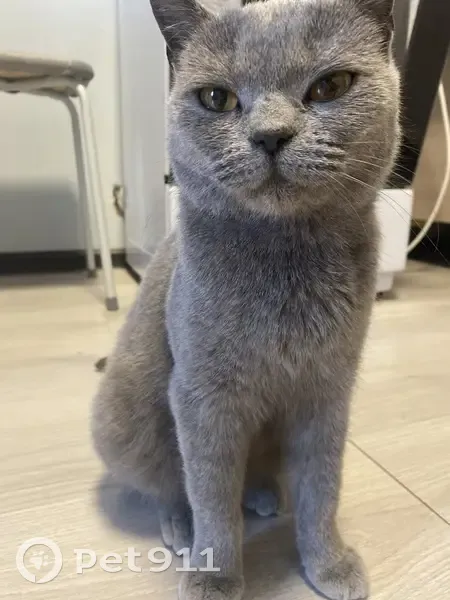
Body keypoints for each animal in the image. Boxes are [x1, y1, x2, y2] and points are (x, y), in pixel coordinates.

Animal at [91, 1, 400, 599]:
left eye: (330, 86)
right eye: (217, 98)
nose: (271, 135)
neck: (285, 267)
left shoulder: (328, 391)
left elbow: (322, 487)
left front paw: (328, 564)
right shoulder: (201, 396)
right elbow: (210, 491)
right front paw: (215, 575)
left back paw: (261, 495)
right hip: (127, 410)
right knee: (168, 481)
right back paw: (180, 525)